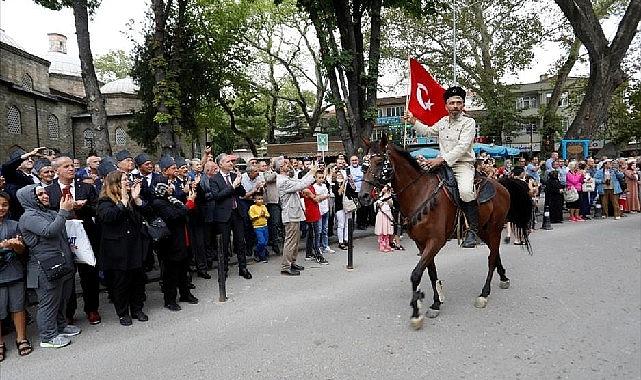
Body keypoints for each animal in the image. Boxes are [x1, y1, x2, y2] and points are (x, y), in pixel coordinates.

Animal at [360, 137, 528, 330]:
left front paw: (416, 312)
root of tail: (501, 185)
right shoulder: (422, 243)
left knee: (492, 259)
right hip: (484, 230)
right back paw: (504, 278)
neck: (420, 192)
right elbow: (431, 272)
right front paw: (436, 302)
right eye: (364, 165)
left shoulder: (436, 241)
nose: (363, 196)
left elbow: (416, 274)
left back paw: (484, 293)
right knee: (495, 254)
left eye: (380, 162)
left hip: (494, 229)